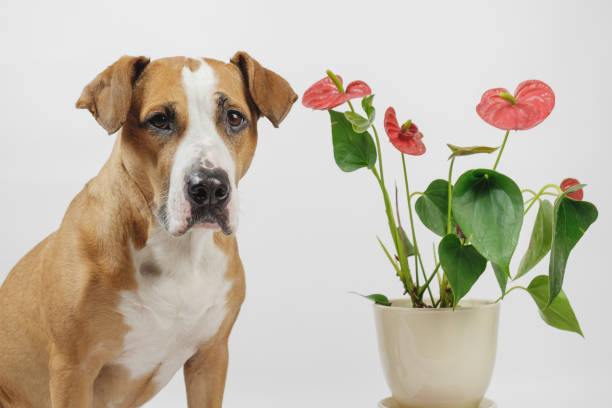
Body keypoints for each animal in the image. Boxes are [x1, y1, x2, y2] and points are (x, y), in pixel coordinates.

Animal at [0, 51, 298, 408]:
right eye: (159, 120)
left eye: (234, 117)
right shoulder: (72, 369)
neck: (178, 251)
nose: (210, 187)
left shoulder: (211, 357)